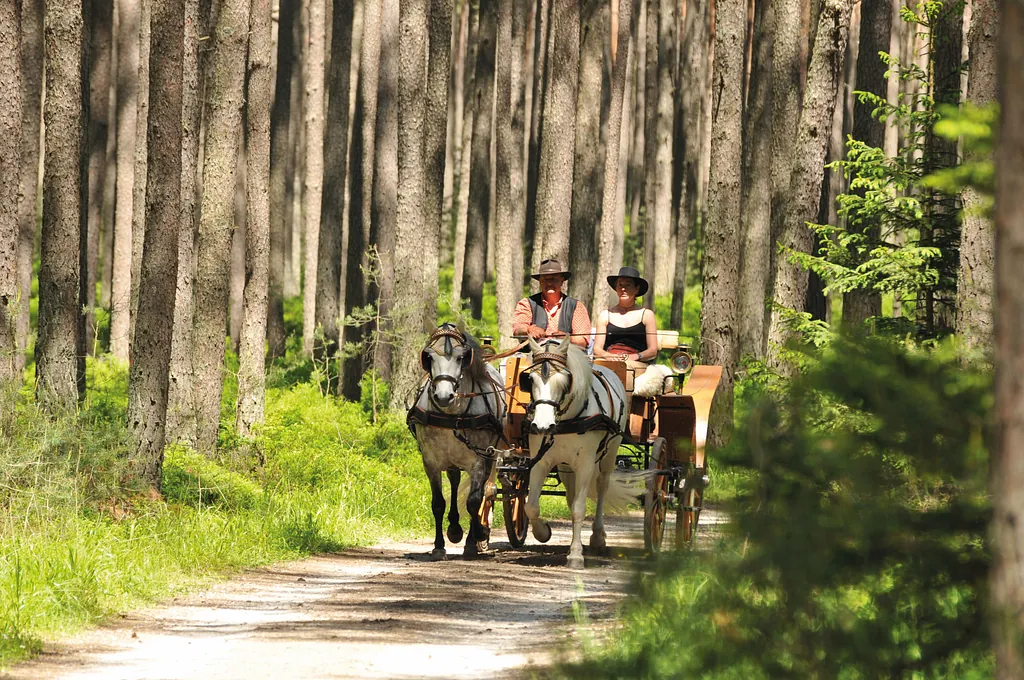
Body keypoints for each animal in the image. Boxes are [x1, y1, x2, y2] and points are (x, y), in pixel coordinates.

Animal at [405, 327, 505, 561]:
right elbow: (438, 503)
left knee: (486, 489)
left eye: (461, 357)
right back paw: (455, 528)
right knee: (454, 478)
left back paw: (479, 532)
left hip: (491, 455)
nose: (443, 396)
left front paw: (472, 542)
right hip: (451, 457)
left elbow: (474, 501)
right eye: (428, 357)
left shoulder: (478, 460)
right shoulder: (430, 461)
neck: (452, 414)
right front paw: (439, 546)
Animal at [520, 335, 630, 569]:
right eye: (530, 380)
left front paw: (576, 555)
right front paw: (543, 532)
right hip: (565, 466)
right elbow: (531, 506)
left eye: (564, 381)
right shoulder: (540, 461)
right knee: (570, 497)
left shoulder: (586, 464)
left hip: (610, 453)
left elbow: (579, 509)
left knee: (602, 486)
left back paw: (597, 537)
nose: (543, 426)